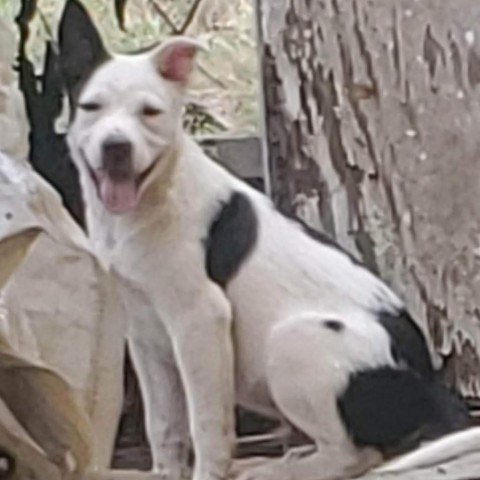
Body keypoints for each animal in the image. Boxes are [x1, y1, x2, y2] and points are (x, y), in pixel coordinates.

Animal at [61, 1, 480, 478]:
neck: (150, 200)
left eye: (150, 112)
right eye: (91, 107)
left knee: (355, 455)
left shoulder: (200, 322)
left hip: (294, 341)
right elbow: (163, 427)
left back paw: (278, 468)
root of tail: (426, 381)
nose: (116, 148)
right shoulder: (145, 335)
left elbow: (206, 425)